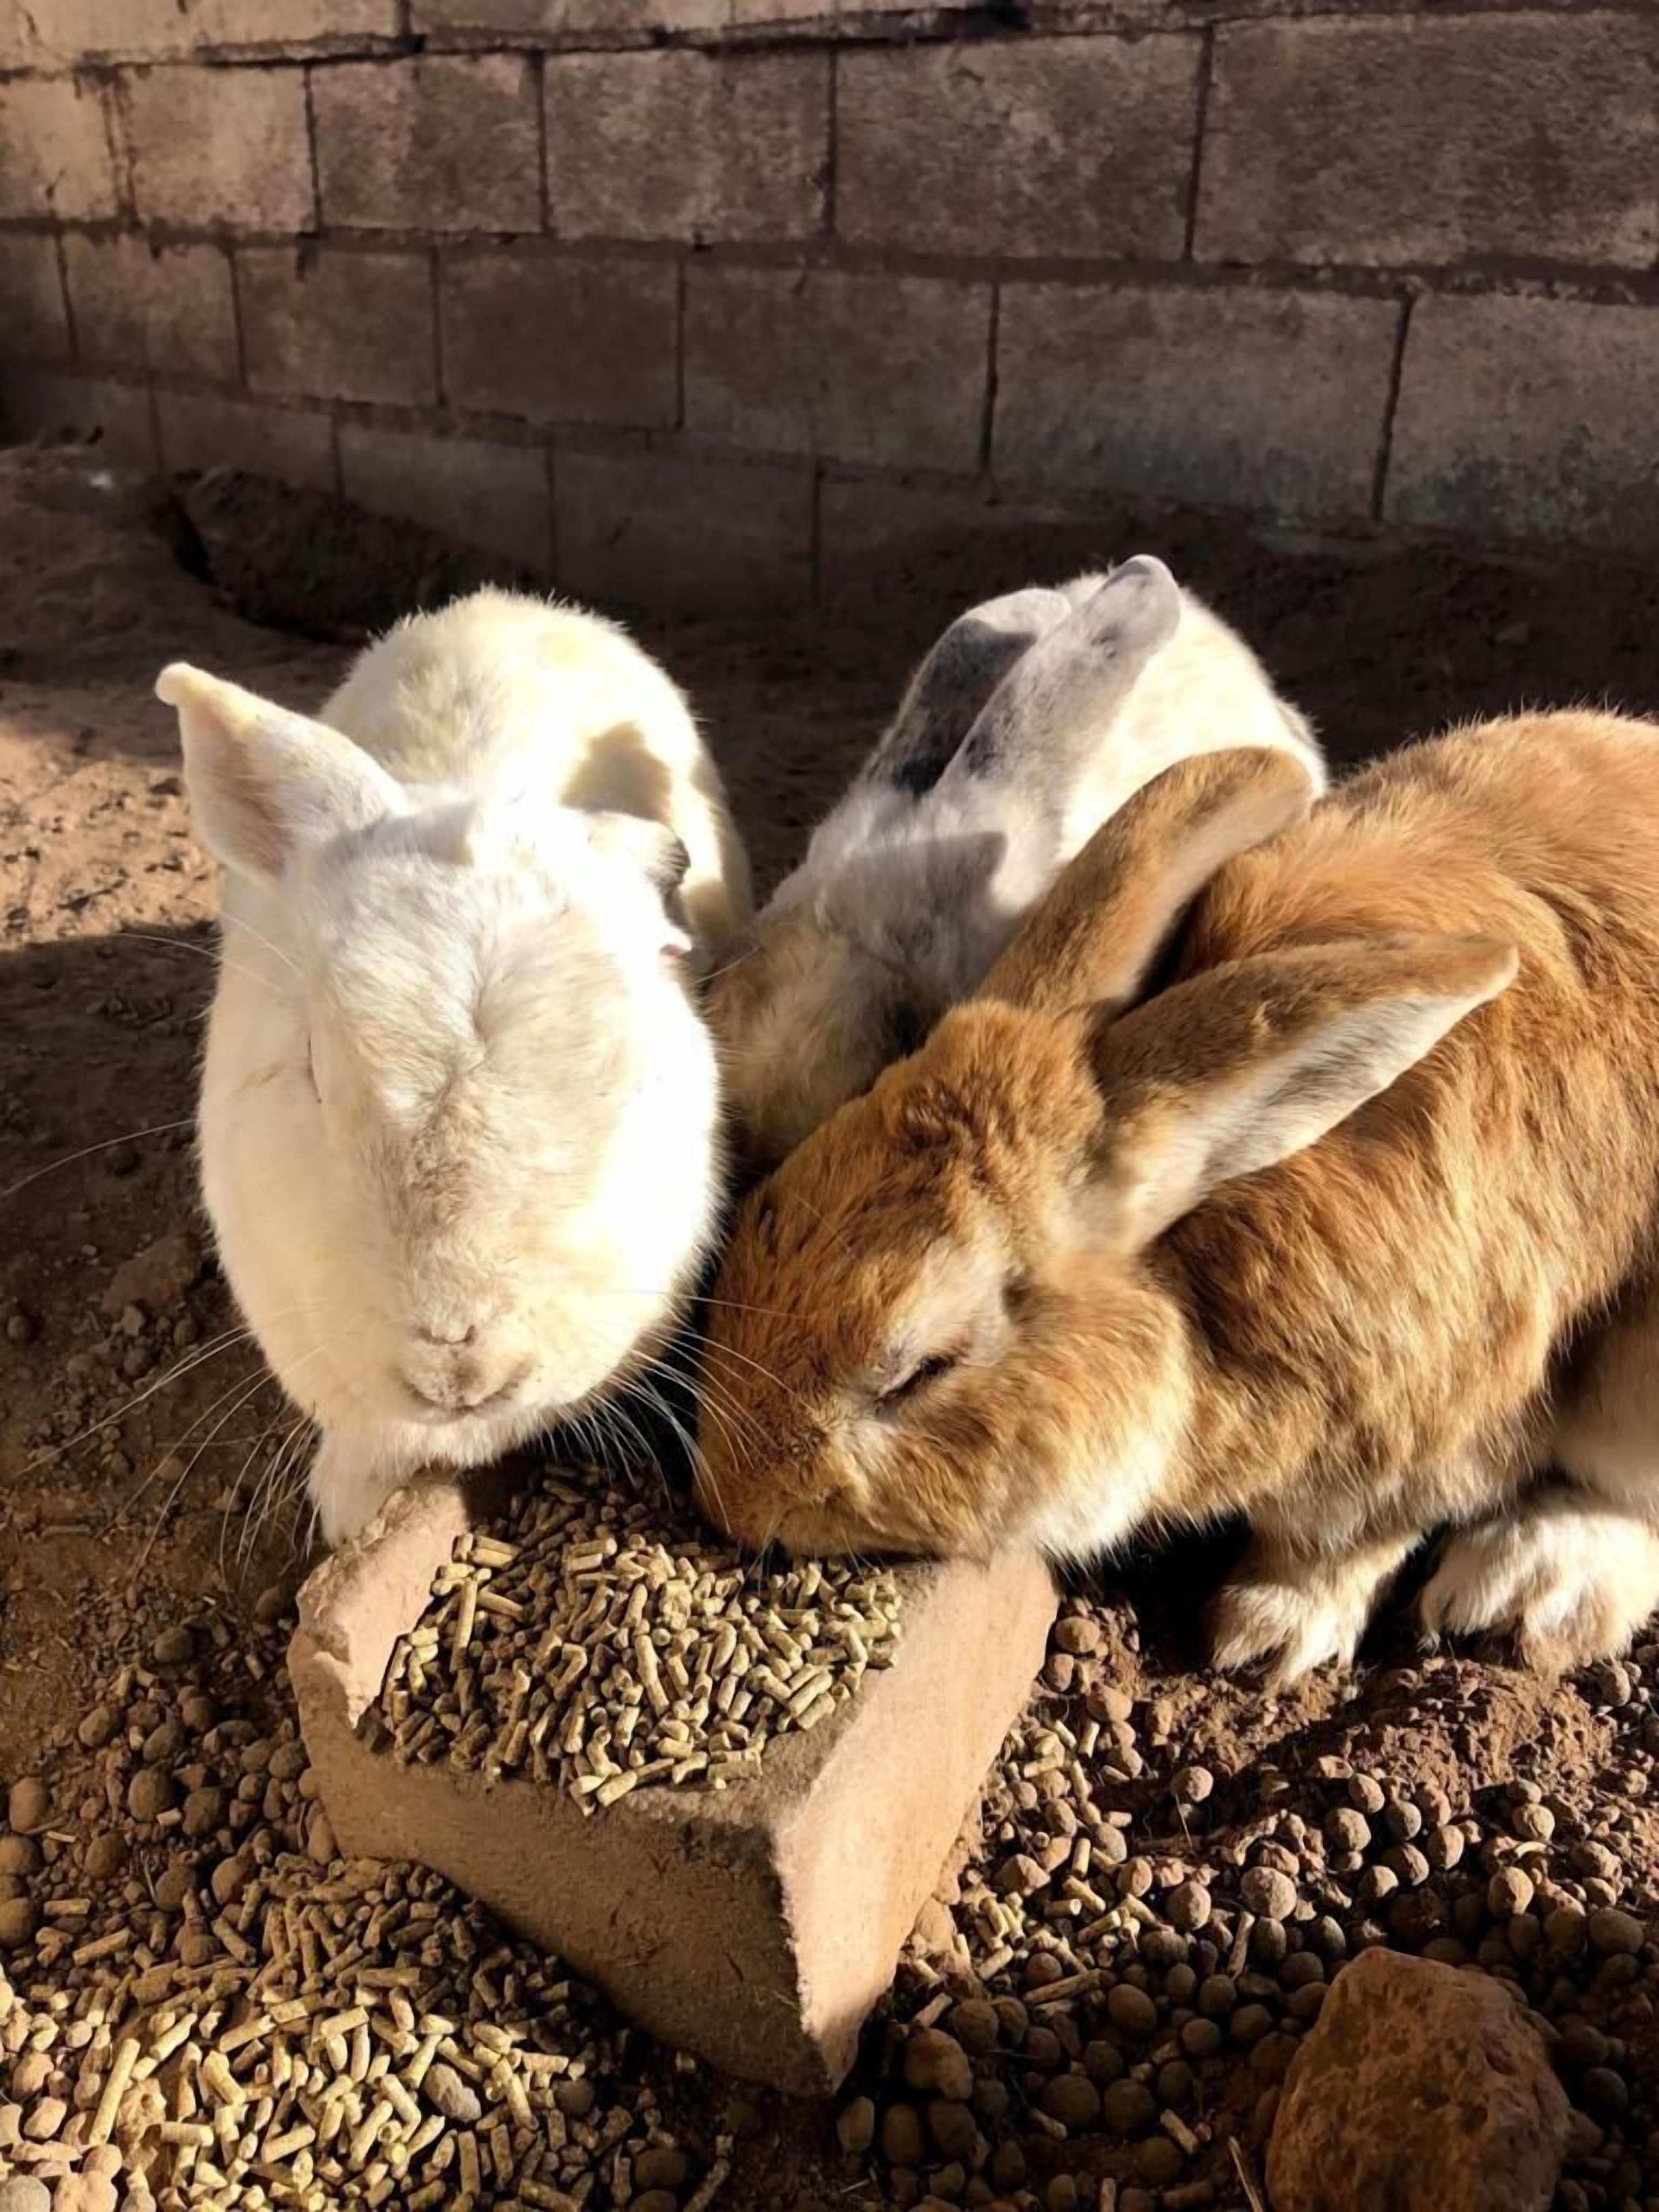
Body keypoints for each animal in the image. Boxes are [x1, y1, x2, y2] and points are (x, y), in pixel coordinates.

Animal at [695, 707, 1659, 1684]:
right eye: (765, 1214)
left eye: (920, 1370)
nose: (730, 1499)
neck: (1195, 1283)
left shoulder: (1422, 1437)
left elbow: (1339, 1545)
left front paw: (1264, 1639)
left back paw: (1526, 1593)